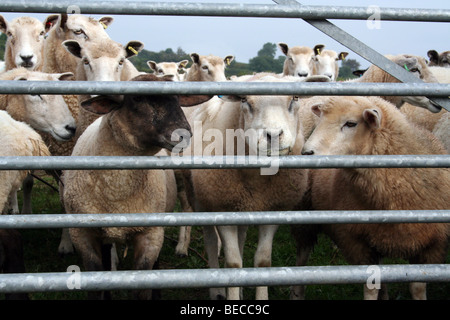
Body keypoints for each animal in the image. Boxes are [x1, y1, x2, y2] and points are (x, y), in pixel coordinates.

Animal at [186, 73, 330, 300]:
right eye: (245, 101)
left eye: (295, 98)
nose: (273, 136)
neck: (257, 178)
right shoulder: (223, 207)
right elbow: (233, 264)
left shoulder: (272, 210)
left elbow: (263, 261)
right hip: (200, 199)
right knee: (210, 239)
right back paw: (217, 291)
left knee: (242, 236)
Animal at [296, 95, 450, 300]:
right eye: (320, 121)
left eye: (351, 123)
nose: (306, 153)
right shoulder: (357, 244)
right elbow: (370, 288)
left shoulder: (432, 247)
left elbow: (417, 287)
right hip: (305, 220)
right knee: (301, 263)